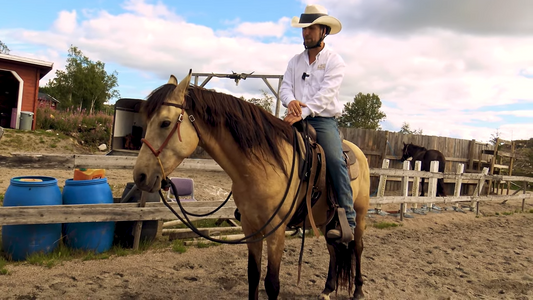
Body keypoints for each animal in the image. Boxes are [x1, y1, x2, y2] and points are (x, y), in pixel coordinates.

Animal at [133, 72, 370, 300]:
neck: (263, 168)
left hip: (359, 214)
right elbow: (253, 275)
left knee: (357, 247)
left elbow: (272, 284)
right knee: (334, 249)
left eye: (165, 123)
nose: (140, 176)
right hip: (326, 221)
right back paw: (328, 289)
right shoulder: (250, 226)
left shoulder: (276, 231)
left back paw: (358, 290)